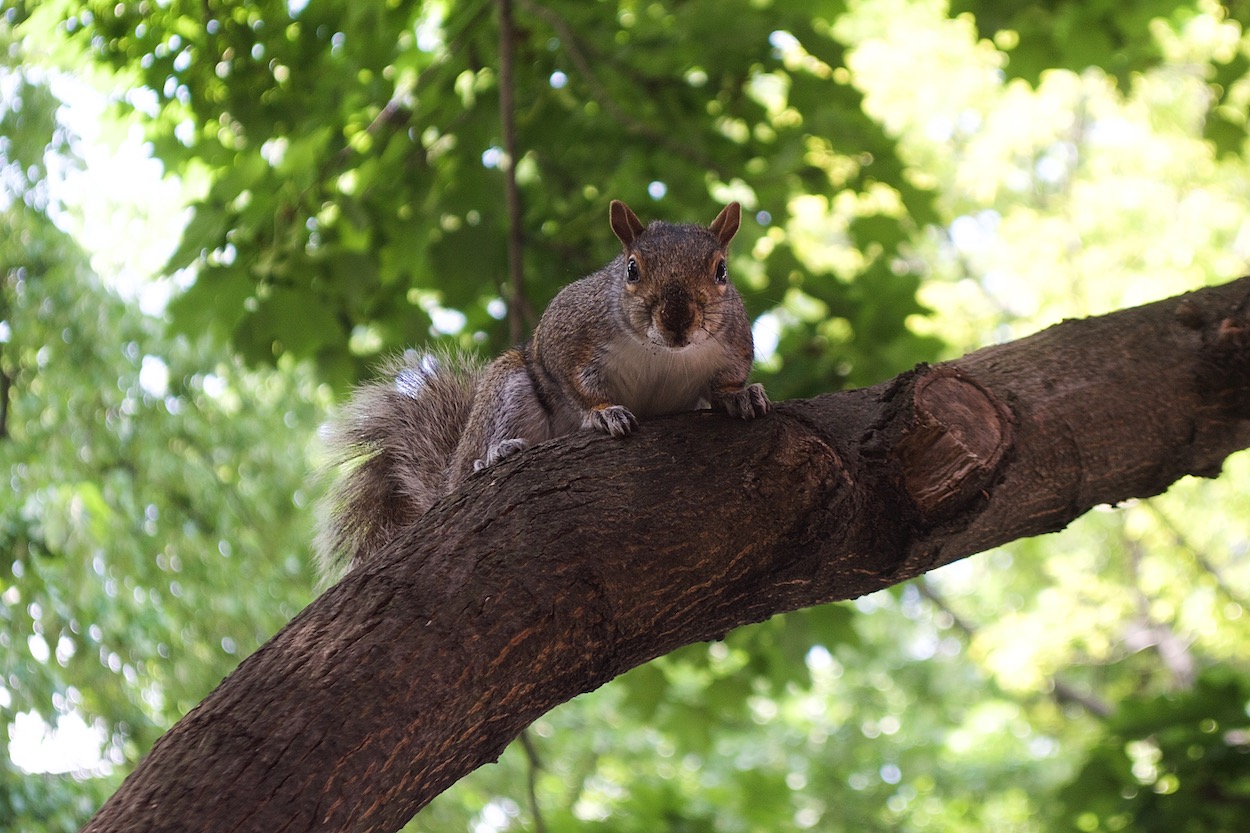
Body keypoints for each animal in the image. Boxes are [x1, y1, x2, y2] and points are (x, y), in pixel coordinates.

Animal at [317, 200, 765, 575]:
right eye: (632, 269)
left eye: (721, 271)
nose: (677, 320)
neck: (664, 352)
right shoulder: (566, 338)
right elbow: (575, 385)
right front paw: (604, 413)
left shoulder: (734, 346)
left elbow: (726, 382)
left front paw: (739, 395)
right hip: (510, 392)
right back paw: (492, 456)